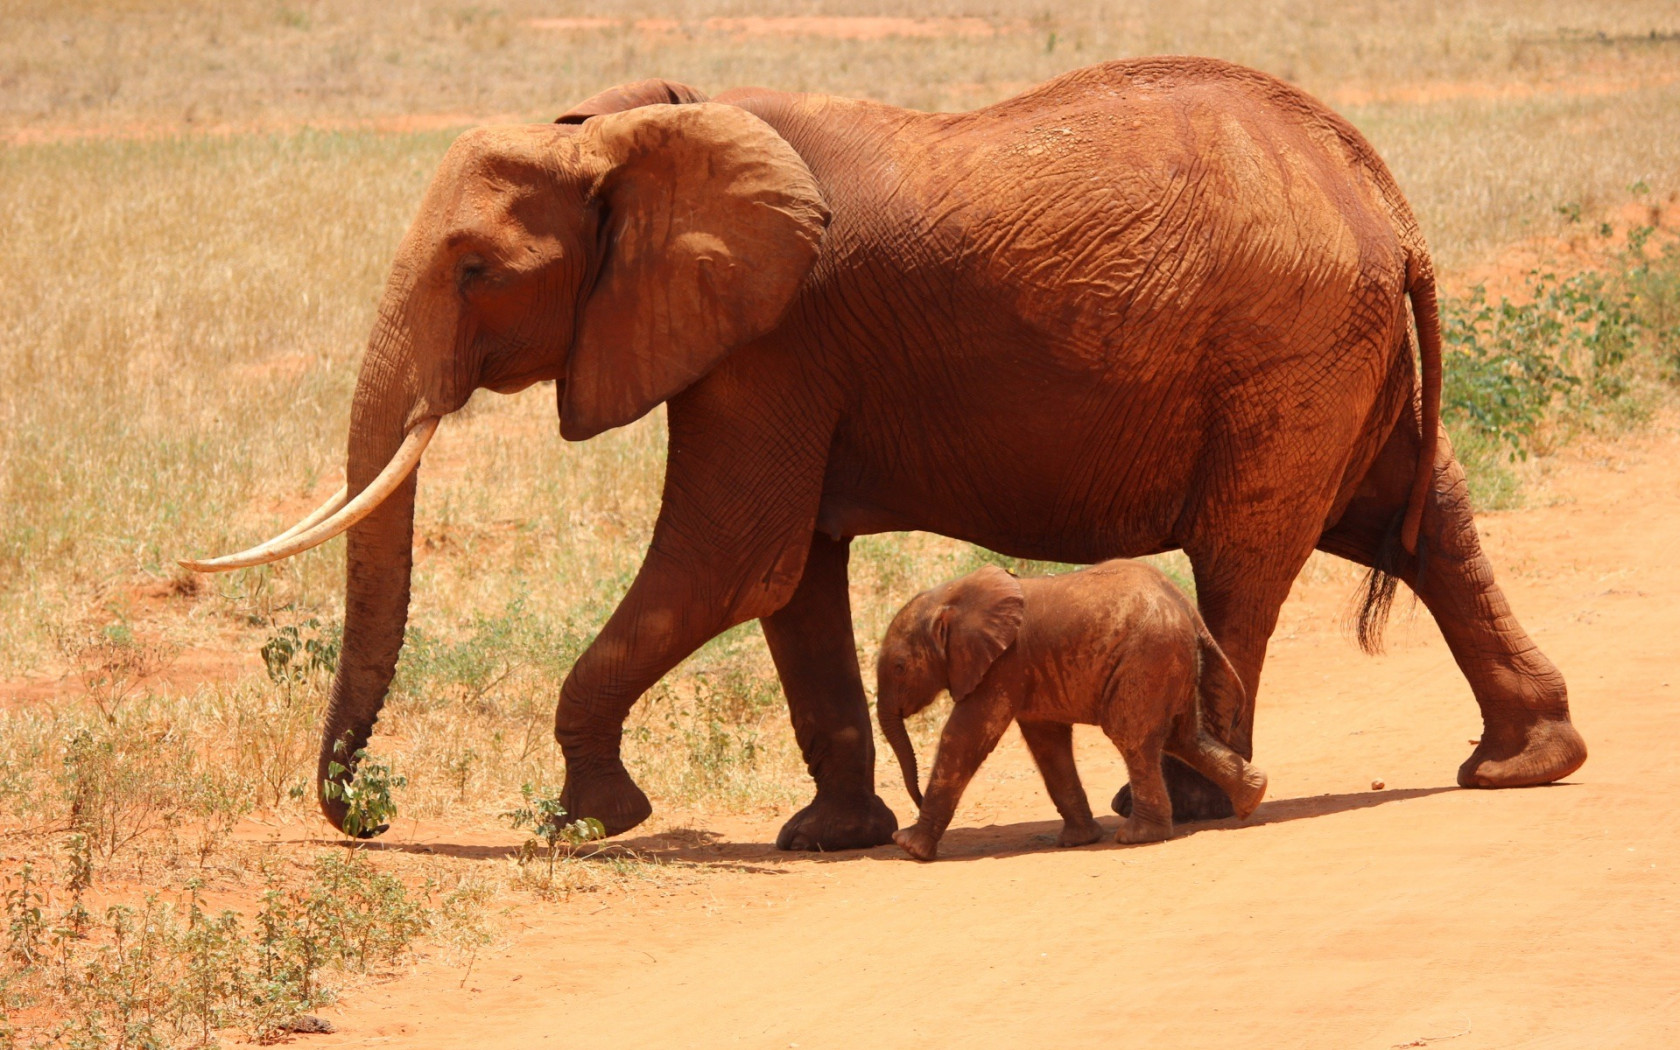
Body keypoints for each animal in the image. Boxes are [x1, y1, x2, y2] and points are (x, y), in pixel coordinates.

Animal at [876, 562, 1268, 861]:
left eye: (899, 667)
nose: (915, 797)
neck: (950, 597)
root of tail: (1187, 608)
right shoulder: (1026, 671)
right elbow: (1047, 745)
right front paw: (1079, 840)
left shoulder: (1003, 665)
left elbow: (964, 738)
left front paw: (909, 846)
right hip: (1170, 661)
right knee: (1184, 738)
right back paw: (1253, 797)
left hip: (1146, 659)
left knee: (1134, 739)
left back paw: (1139, 836)